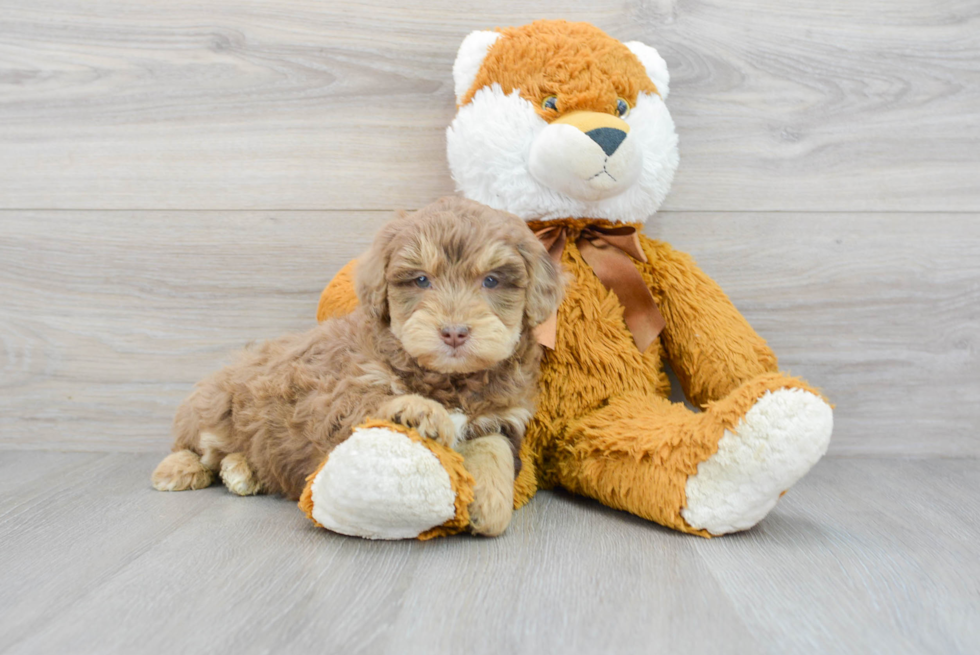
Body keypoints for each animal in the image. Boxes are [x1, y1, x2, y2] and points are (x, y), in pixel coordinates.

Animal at [150, 197, 564, 536]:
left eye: (491, 281)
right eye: (422, 280)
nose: (454, 332)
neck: (449, 380)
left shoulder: (502, 418)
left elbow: (494, 448)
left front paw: (489, 504)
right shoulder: (334, 395)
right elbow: (371, 403)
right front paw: (421, 411)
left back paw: (243, 471)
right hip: (213, 402)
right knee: (195, 444)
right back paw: (179, 469)